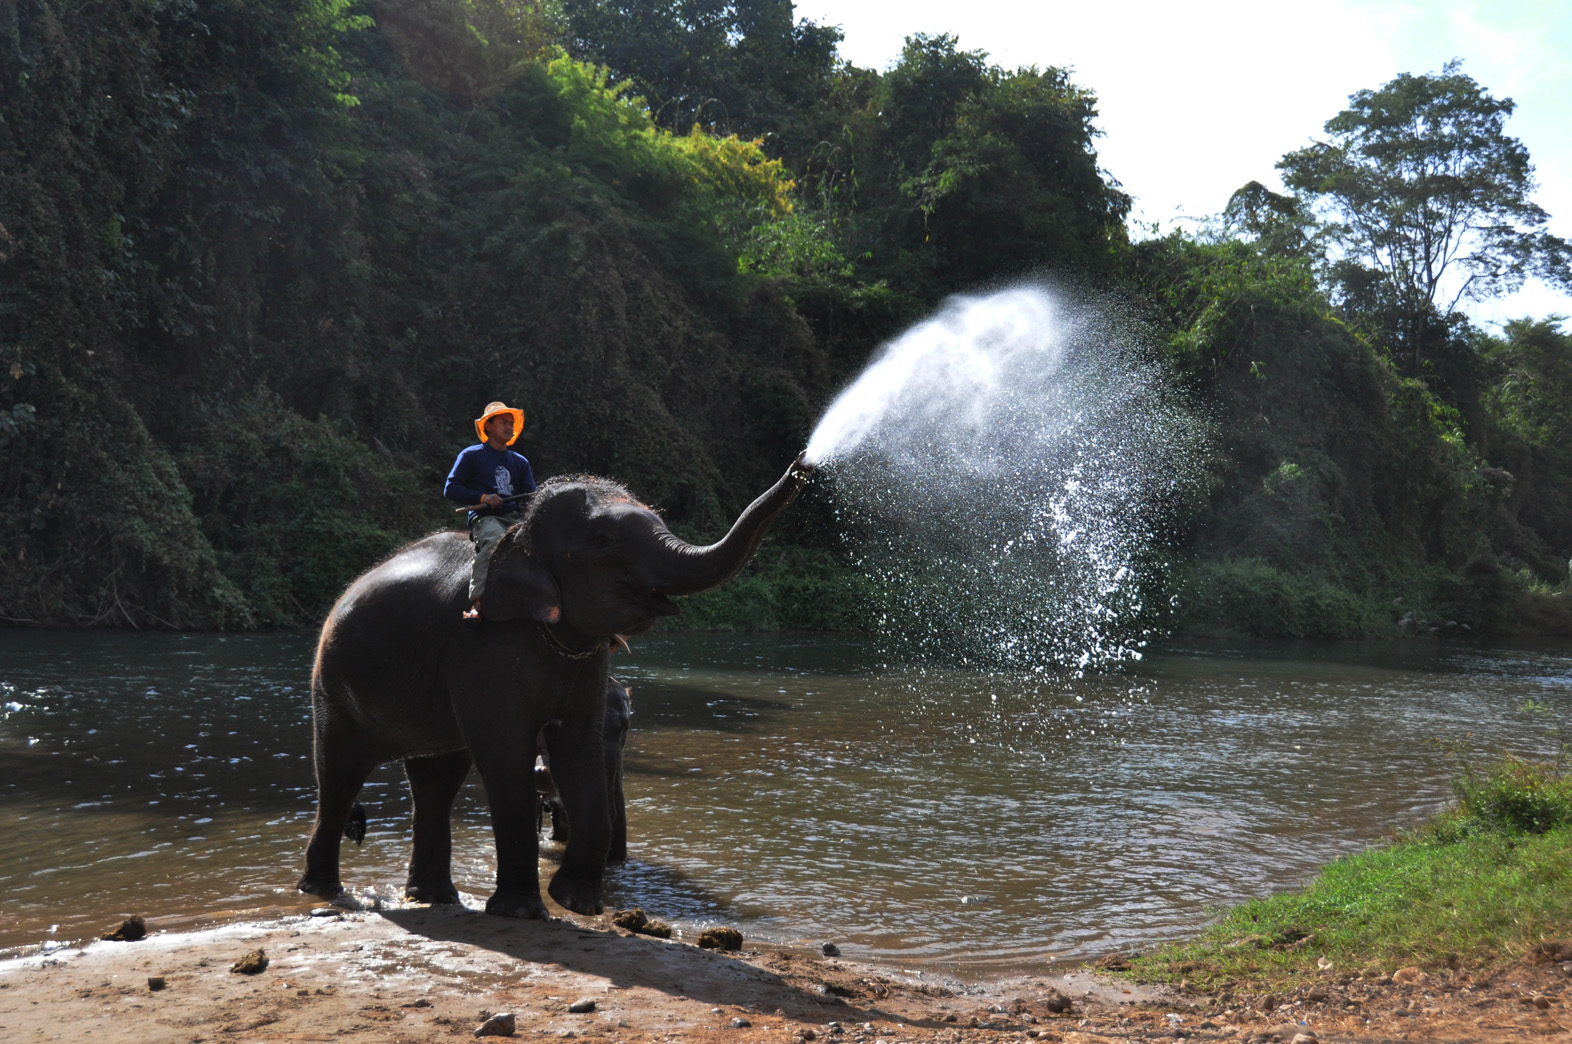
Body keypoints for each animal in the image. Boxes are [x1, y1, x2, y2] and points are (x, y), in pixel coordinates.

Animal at [297, 452, 811, 918]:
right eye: (602, 539)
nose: (801, 465)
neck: (519, 535)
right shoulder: (482, 649)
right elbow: (506, 751)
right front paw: (523, 911)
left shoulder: (588, 665)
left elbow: (578, 745)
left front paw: (575, 903)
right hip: (331, 682)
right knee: (341, 774)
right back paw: (323, 891)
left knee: (435, 778)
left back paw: (436, 899)